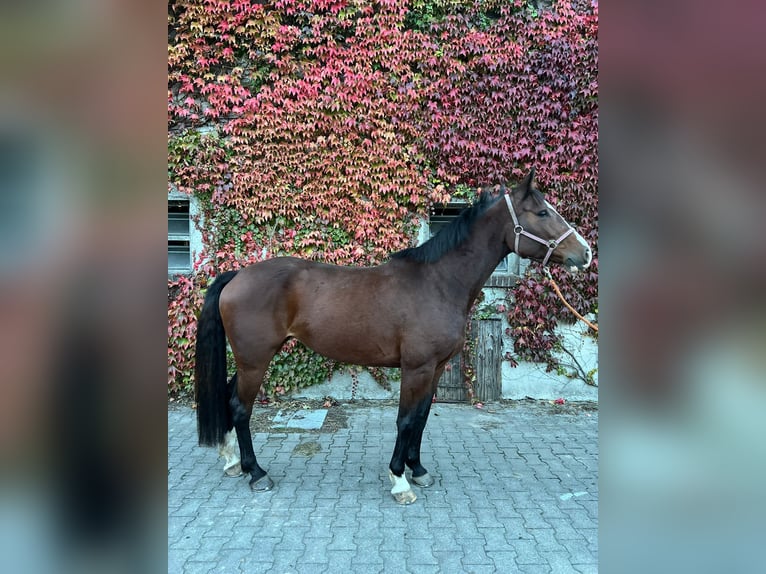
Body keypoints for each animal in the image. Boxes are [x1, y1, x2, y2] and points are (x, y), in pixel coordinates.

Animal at [195, 170, 592, 504]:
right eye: (542, 212)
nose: (585, 253)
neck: (438, 282)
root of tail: (237, 275)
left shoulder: (435, 369)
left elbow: (422, 417)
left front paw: (418, 470)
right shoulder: (416, 368)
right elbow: (405, 419)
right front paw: (400, 480)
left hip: (251, 359)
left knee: (229, 398)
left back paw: (232, 461)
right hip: (255, 360)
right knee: (240, 407)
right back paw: (256, 472)